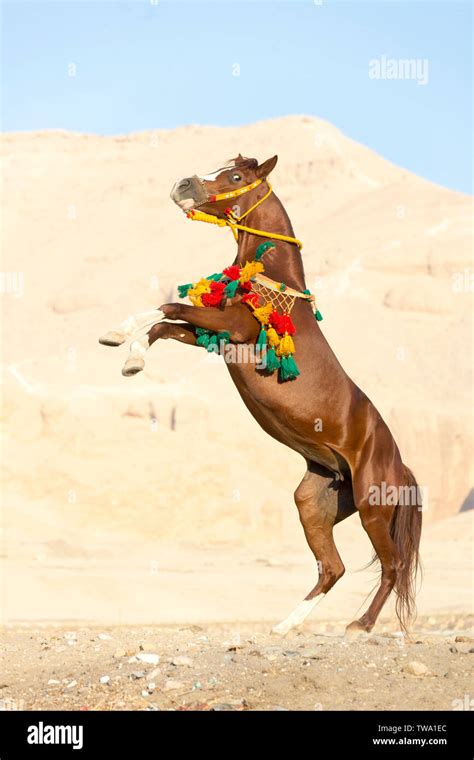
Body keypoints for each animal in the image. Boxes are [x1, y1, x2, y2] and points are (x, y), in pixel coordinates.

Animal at [101, 154, 422, 636]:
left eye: (235, 176)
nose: (183, 185)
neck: (272, 276)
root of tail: (399, 464)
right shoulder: (215, 335)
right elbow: (165, 324)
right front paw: (128, 352)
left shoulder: (233, 327)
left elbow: (168, 307)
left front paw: (118, 336)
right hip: (315, 503)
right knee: (333, 568)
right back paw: (284, 626)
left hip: (372, 505)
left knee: (392, 565)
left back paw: (359, 626)